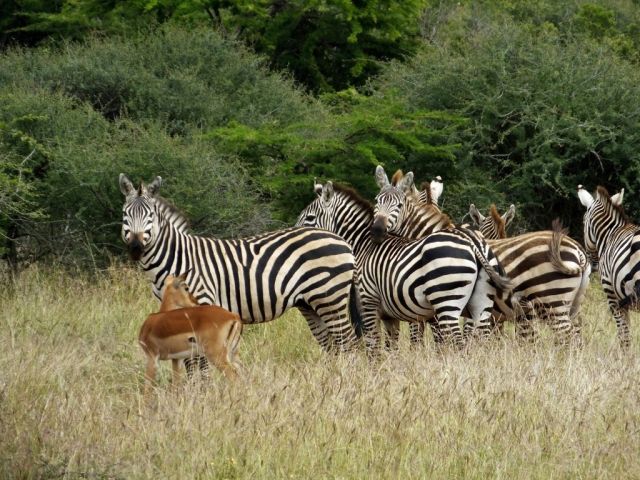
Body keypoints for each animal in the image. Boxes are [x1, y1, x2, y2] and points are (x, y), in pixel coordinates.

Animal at [119, 174, 364, 356]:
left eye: (150, 215)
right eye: (125, 214)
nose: (135, 247)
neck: (177, 258)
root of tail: (342, 241)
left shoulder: (202, 303)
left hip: (330, 297)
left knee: (349, 344)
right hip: (310, 303)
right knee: (333, 346)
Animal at [295, 180, 512, 350]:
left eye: (310, 218)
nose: (294, 237)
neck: (363, 245)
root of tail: (473, 242)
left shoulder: (368, 302)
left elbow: (374, 345)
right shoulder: (389, 314)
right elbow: (392, 346)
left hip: (447, 302)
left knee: (458, 343)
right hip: (481, 306)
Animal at [373, 168, 590, 343]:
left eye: (399, 206)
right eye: (376, 202)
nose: (378, 229)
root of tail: (578, 251)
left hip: (553, 302)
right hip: (573, 306)